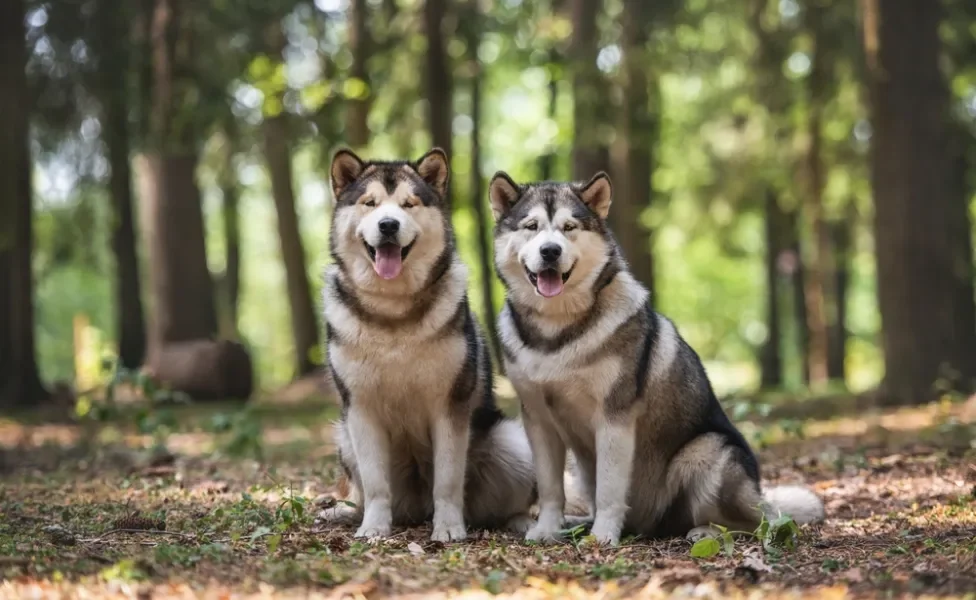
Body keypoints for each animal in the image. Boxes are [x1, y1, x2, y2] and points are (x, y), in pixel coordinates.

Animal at [318, 148, 532, 540]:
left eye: (408, 204)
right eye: (370, 203)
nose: (388, 225)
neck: (393, 313)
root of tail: (417, 510)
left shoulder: (449, 405)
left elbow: (447, 479)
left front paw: (448, 529)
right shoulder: (360, 408)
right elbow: (375, 484)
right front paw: (373, 527)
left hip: (512, 442)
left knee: (502, 505)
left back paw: (520, 520)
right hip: (343, 437)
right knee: (365, 491)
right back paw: (345, 511)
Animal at [488, 170, 824, 544]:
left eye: (569, 227)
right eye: (531, 226)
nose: (550, 251)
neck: (556, 329)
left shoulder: (614, 418)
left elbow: (609, 489)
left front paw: (602, 537)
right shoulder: (538, 419)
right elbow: (550, 488)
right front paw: (546, 529)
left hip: (708, 452)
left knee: (761, 522)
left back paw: (707, 531)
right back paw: (577, 522)